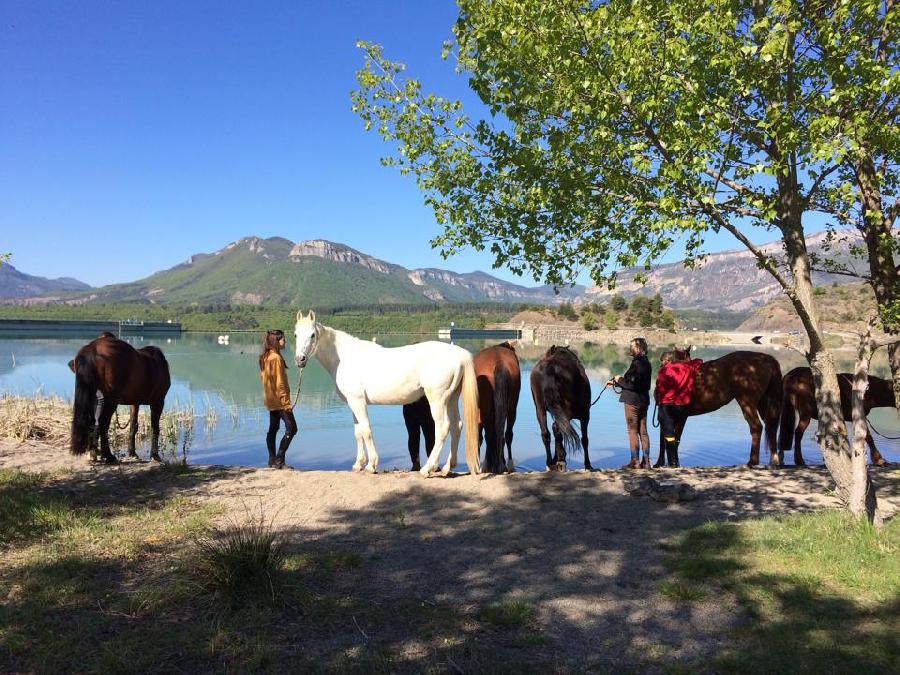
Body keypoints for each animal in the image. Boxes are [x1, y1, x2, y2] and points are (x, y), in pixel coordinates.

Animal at [70, 334, 171, 464]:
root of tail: (92, 347)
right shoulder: (158, 401)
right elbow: (155, 428)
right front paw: (155, 455)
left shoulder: (135, 403)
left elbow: (133, 426)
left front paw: (132, 453)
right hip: (111, 401)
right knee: (103, 424)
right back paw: (108, 456)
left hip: (93, 399)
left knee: (92, 421)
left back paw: (93, 453)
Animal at [294, 310, 478, 476]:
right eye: (296, 335)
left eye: (312, 335)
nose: (300, 359)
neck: (345, 358)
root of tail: (460, 354)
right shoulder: (352, 403)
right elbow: (358, 432)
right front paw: (358, 464)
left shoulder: (358, 401)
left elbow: (366, 430)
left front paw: (371, 465)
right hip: (451, 399)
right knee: (456, 426)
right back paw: (447, 468)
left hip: (438, 400)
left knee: (442, 428)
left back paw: (427, 469)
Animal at [402, 344, 520, 476]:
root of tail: (499, 361)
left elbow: (480, 437)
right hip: (511, 407)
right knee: (505, 434)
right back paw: (503, 466)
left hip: (487, 410)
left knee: (493, 435)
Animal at [656, 352, 784, 468]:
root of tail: (766, 358)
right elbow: (668, 439)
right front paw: (665, 463)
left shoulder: (679, 416)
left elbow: (670, 439)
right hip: (764, 404)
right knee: (770, 428)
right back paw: (774, 461)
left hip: (747, 402)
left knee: (756, 427)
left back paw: (752, 462)